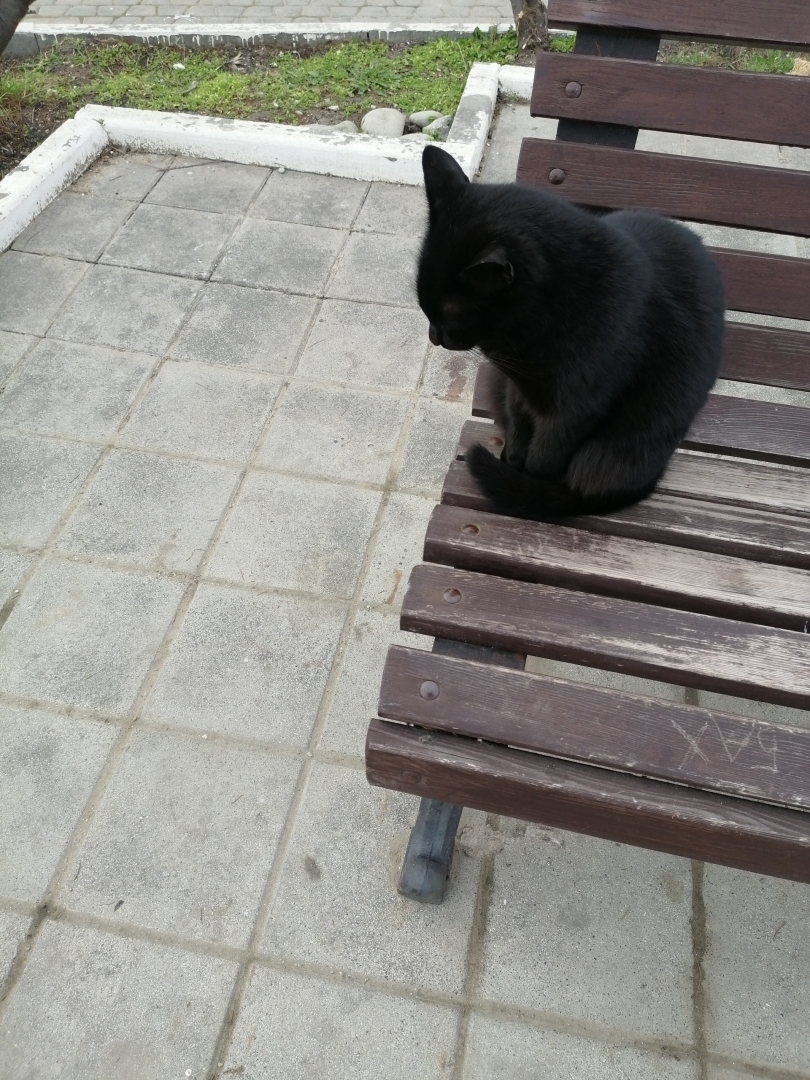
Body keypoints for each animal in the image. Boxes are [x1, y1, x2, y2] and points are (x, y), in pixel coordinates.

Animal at [416, 145, 725, 519]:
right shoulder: (516, 389)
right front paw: (512, 462)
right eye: (425, 306)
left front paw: (525, 485)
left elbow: (545, 457)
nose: (433, 336)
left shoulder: (573, 412)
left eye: (450, 315)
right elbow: (519, 427)